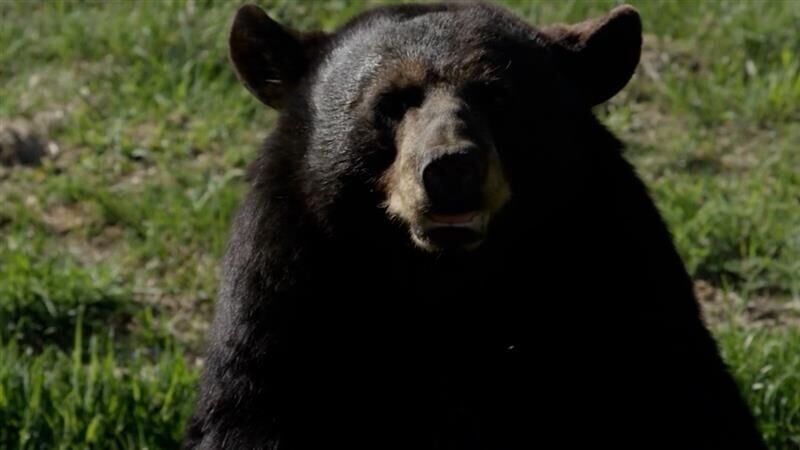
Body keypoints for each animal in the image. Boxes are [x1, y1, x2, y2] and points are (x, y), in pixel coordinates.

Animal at [183, 2, 768, 450]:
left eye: (497, 96)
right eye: (391, 103)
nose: (451, 169)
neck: (449, 281)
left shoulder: (615, 258)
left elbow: (682, 394)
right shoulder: (287, 288)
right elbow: (251, 404)